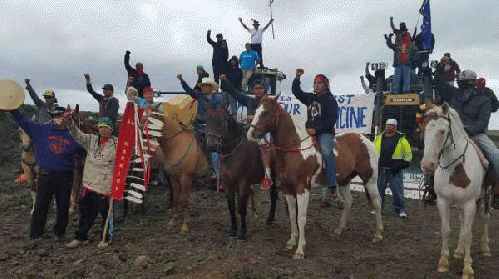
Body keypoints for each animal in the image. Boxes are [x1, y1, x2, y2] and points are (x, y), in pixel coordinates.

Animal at [205, 108, 280, 240]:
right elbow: (231, 207)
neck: (233, 152)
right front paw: (233, 230)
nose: (212, 144)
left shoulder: (243, 183)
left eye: (223, 122)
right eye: (206, 121)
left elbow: (241, 207)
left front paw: (243, 232)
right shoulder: (227, 184)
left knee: (273, 193)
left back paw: (270, 219)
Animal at [247, 96, 382, 260]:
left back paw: (378, 235)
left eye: (266, 112)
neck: (295, 148)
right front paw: (291, 242)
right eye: (256, 111)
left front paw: (300, 249)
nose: (251, 134)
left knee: (377, 202)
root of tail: (366, 140)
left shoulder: (302, 189)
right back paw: (339, 229)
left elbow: (301, 217)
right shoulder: (287, 189)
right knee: (349, 202)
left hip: (370, 179)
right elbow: (292, 215)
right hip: (344, 180)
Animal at [422, 104, 492, 278]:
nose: (427, 165)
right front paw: (443, 262)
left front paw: (467, 268)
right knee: (462, 223)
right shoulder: (443, 202)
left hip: (485, 198)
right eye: (423, 129)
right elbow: (446, 230)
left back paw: (485, 248)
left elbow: (468, 233)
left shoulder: (469, 204)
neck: (455, 169)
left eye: (442, 131)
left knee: (485, 218)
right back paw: (459, 251)